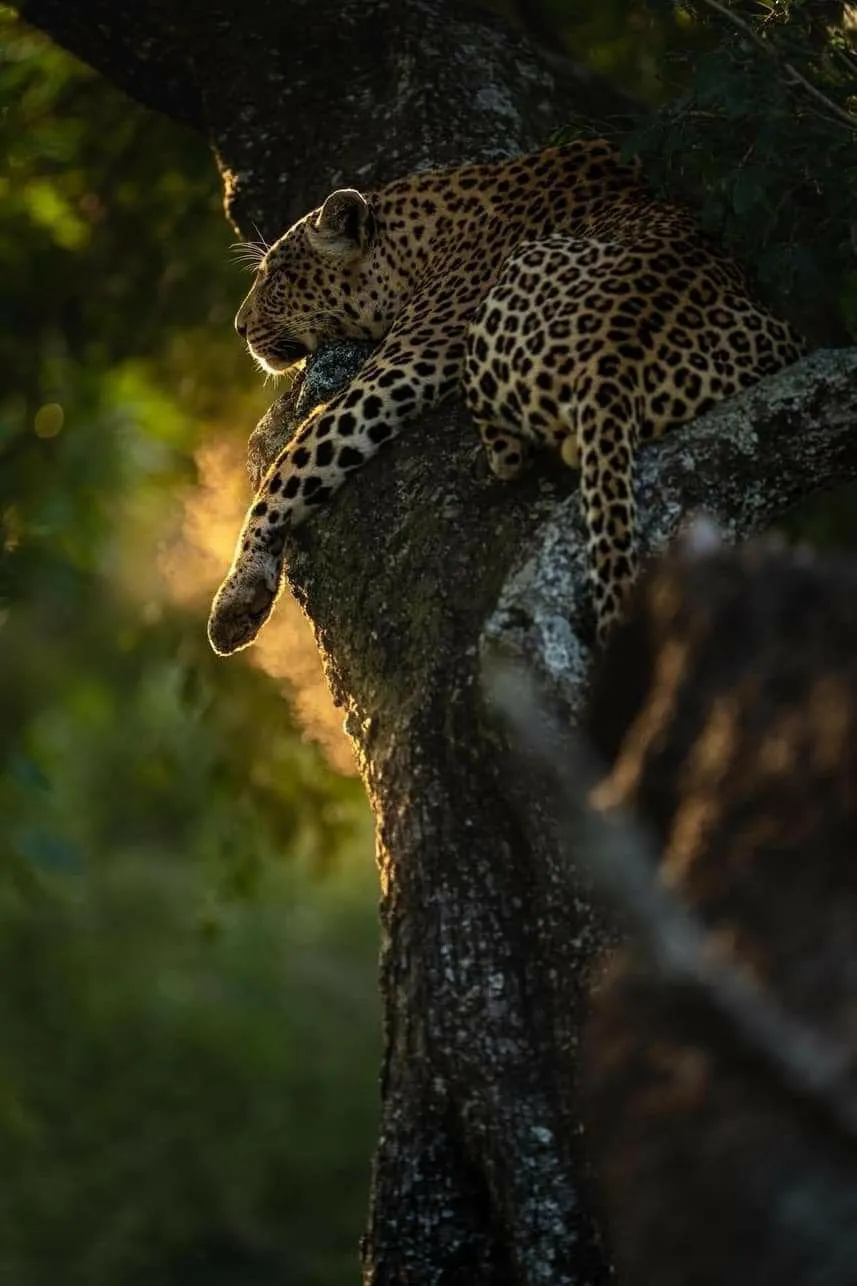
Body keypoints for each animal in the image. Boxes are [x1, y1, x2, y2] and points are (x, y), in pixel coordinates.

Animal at [207, 139, 805, 656]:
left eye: (276, 278)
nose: (237, 327)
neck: (418, 235)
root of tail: (615, 356)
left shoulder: (412, 356)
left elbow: (291, 464)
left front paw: (237, 596)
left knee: (509, 455)